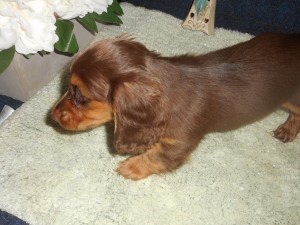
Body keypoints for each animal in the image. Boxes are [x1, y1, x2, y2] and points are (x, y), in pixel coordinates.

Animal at [52, 33, 300, 180]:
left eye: (81, 96)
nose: (52, 115)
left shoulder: (178, 143)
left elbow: (155, 157)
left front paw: (130, 168)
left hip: (293, 98)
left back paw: (288, 129)